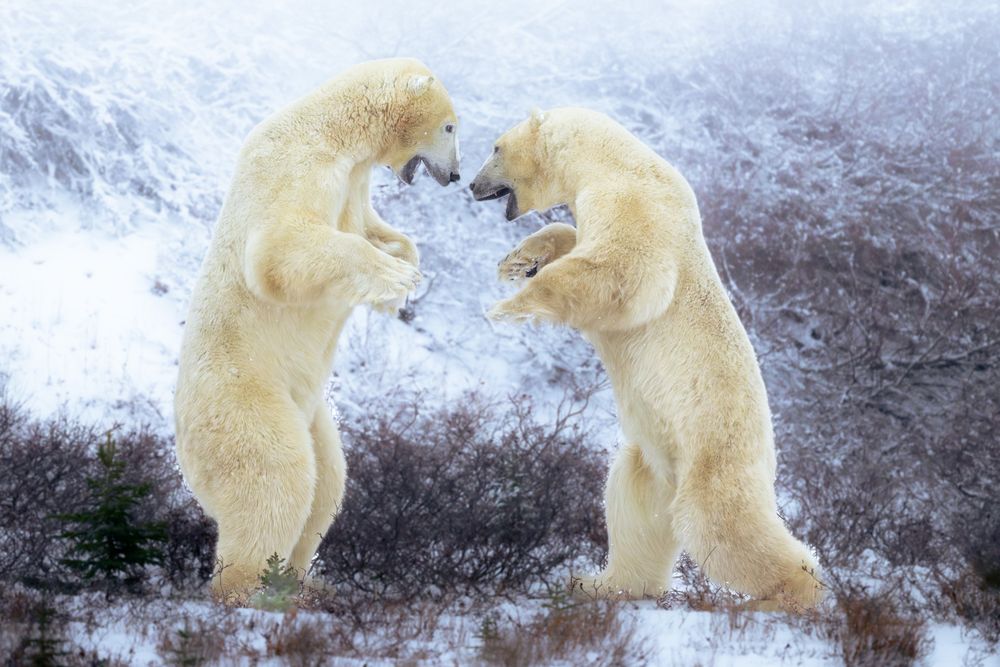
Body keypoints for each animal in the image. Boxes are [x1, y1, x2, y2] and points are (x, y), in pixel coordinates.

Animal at [174, 58, 460, 601]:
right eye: (452, 127)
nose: (454, 174)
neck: (334, 130)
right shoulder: (299, 165)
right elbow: (281, 247)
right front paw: (397, 277)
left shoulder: (355, 180)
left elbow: (370, 225)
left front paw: (405, 264)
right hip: (245, 401)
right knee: (276, 481)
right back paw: (247, 591)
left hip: (313, 415)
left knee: (328, 483)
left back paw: (304, 582)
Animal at [469, 107, 824, 610]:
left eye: (495, 147)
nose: (471, 185)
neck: (614, 163)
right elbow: (572, 238)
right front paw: (518, 261)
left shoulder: (637, 206)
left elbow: (621, 273)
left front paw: (507, 307)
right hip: (653, 462)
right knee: (633, 513)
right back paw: (599, 583)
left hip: (713, 452)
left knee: (720, 526)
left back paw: (794, 591)